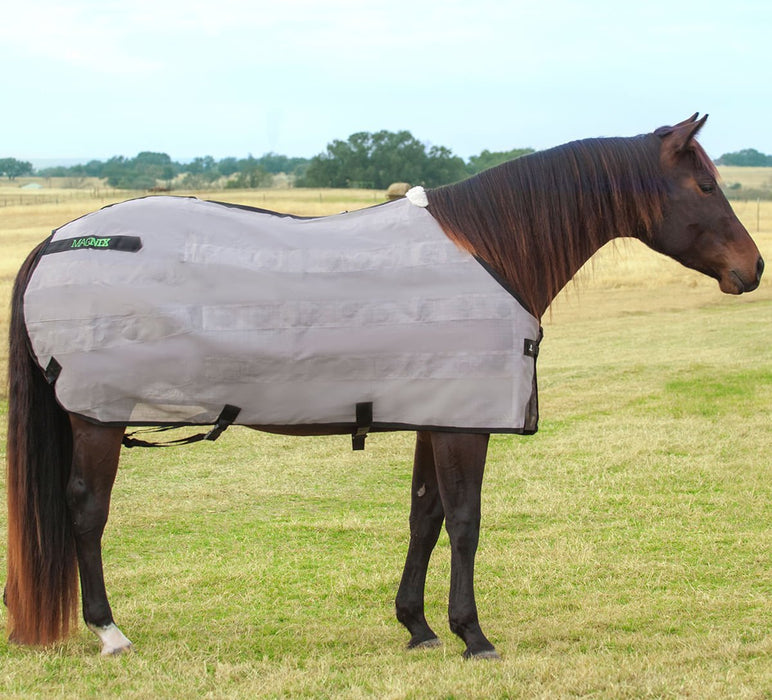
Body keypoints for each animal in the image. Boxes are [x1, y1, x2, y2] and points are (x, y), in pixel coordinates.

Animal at [4, 114, 764, 658]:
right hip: (98, 419)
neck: (491, 252)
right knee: (86, 512)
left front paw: (418, 627)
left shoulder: (435, 415)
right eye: (704, 186)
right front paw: (472, 635)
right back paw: (109, 631)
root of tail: (57, 239)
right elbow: (465, 521)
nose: (753, 269)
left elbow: (424, 516)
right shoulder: (464, 425)